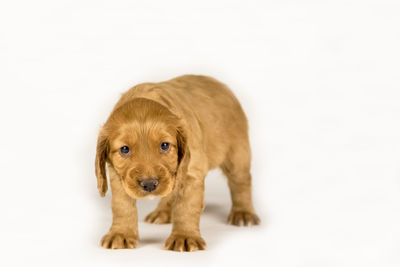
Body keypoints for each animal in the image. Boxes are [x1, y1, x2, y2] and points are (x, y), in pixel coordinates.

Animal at [95, 75, 260, 251]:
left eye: (165, 145)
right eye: (125, 149)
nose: (149, 184)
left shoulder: (191, 173)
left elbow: (186, 207)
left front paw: (184, 237)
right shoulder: (118, 176)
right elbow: (121, 206)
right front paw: (121, 234)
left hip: (237, 152)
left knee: (241, 182)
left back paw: (243, 214)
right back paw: (162, 212)